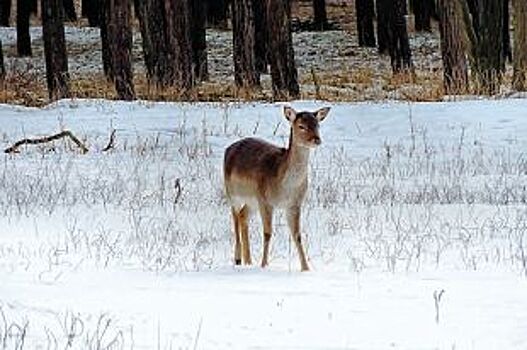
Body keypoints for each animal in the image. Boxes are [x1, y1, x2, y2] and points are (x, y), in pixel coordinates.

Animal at [223, 105, 330, 272]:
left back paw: (248, 261)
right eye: (301, 126)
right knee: (234, 217)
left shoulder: (294, 204)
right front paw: (264, 264)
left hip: (252, 201)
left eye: (317, 125)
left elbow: (297, 234)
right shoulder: (265, 200)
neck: (285, 187)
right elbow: (267, 232)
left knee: (243, 216)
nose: (316, 140)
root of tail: (228, 149)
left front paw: (306, 268)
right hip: (232, 193)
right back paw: (238, 259)